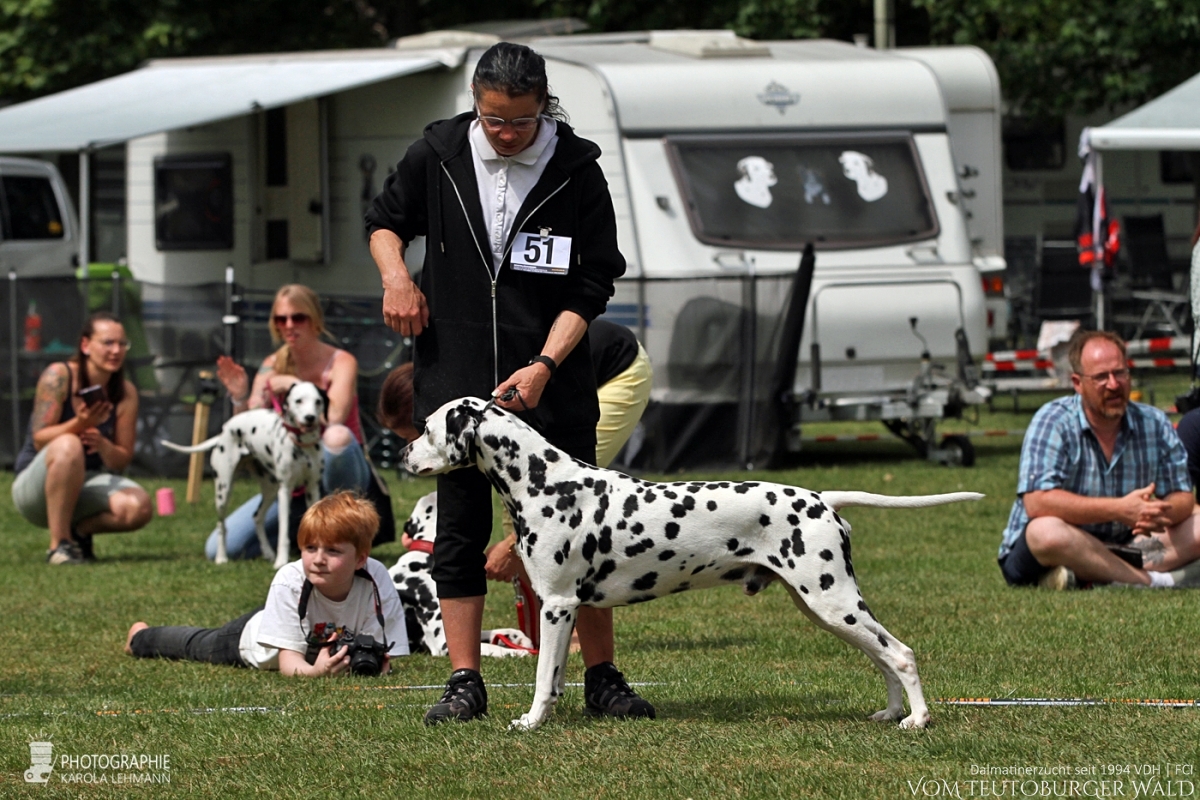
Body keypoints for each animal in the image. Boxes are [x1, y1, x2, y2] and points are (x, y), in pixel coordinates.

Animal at [164, 381, 326, 568]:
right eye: (299, 400)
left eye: (318, 401)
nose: (310, 417)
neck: (302, 445)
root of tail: (224, 430)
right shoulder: (286, 490)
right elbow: (283, 532)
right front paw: (281, 561)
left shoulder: (312, 489)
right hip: (223, 491)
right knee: (221, 525)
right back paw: (221, 557)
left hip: (271, 490)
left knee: (257, 517)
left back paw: (268, 552)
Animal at [403, 395, 984, 734]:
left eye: (427, 429)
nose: (404, 455)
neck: (546, 481)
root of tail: (822, 498)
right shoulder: (560, 610)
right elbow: (558, 673)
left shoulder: (557, 605)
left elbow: (544, 677)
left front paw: (529, 721)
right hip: (828, 608)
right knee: (882, 656)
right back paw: (892, 713)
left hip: (833, 601)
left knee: (900, 653)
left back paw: (919, 720)